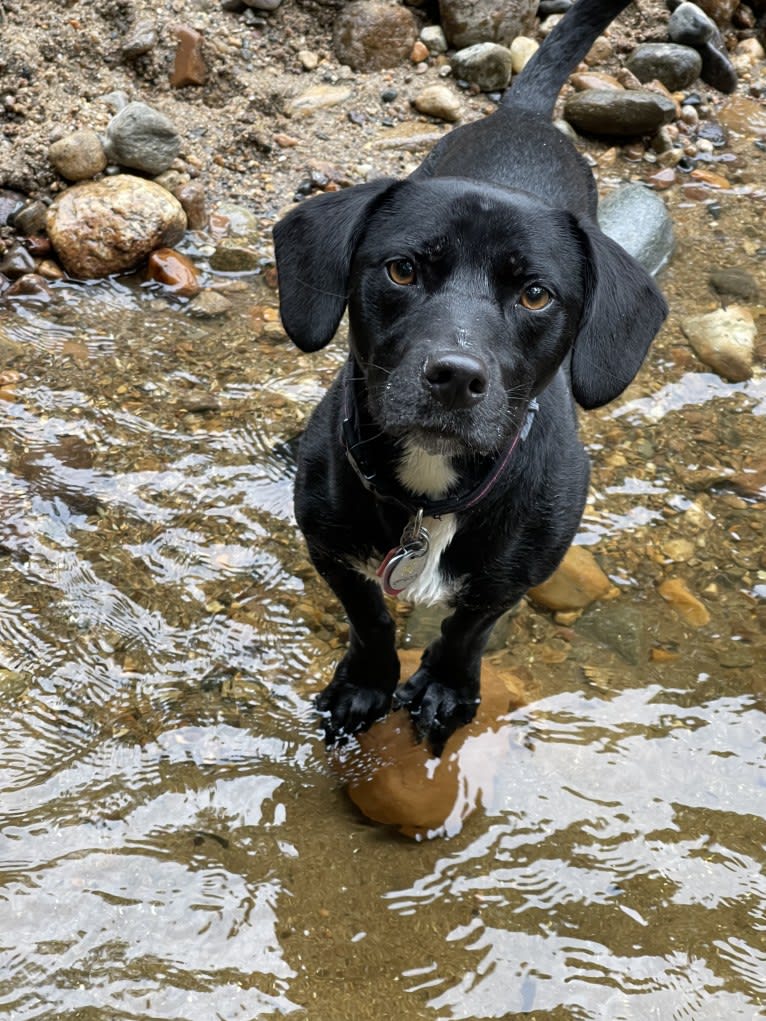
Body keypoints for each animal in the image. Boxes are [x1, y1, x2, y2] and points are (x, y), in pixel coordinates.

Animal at [273, 0, 669, 751]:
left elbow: (470, 626)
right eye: (402, 270)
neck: (429, 497)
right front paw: (366, 681)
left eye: (536, 295)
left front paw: (445, 688)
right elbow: (369, 613)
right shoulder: (330, 546)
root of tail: (524, 113)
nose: (455, 376)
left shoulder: (520, 567)